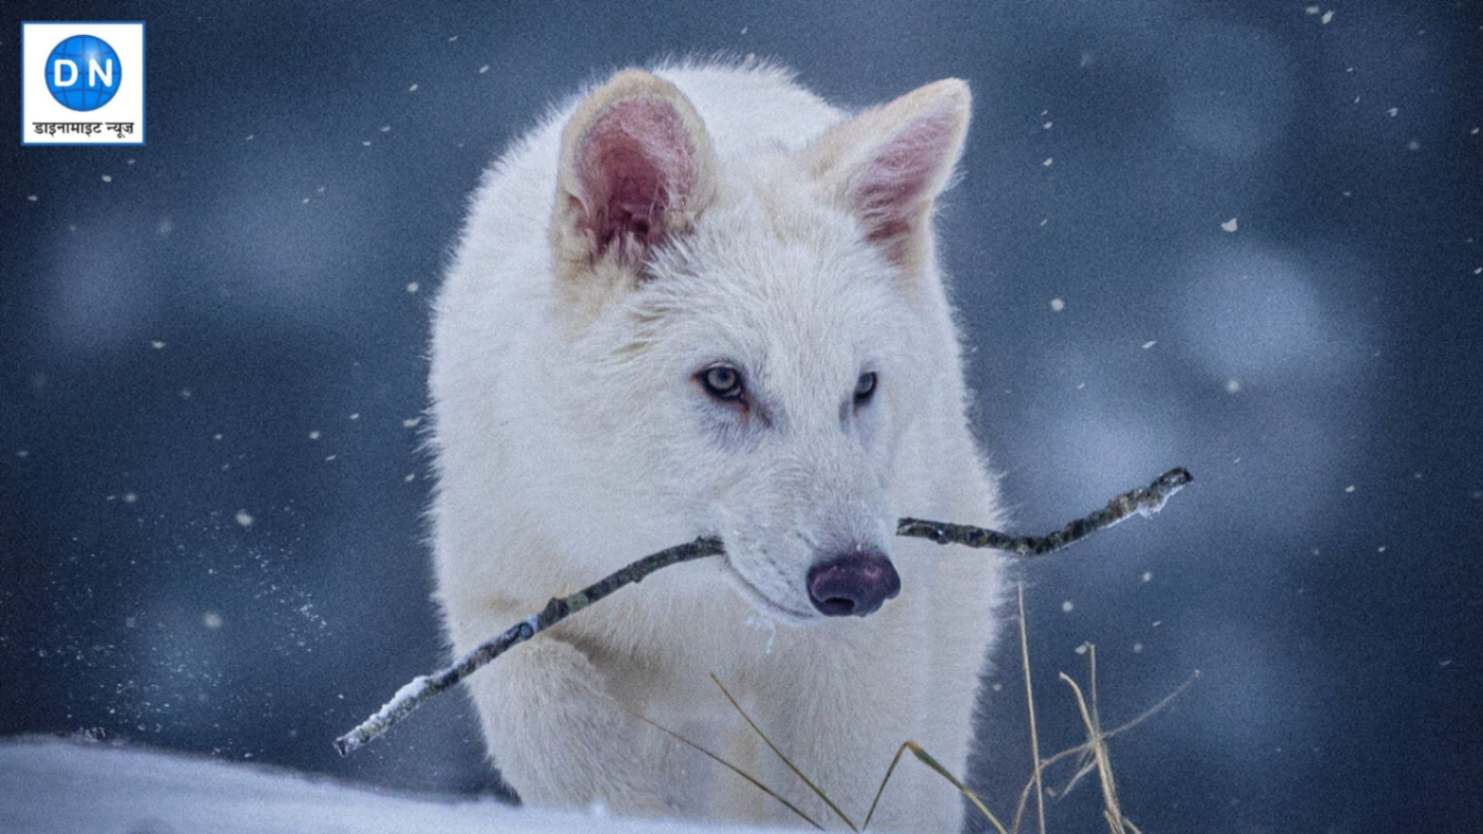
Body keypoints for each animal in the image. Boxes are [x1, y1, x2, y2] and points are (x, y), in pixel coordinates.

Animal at [429, 59, 1007, 832]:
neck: (691, 606)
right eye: (724, 380)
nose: (859, 581)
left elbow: (840, 799)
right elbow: (565, 738)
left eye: (861, 386)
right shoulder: (502, 608)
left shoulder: (855, 664)